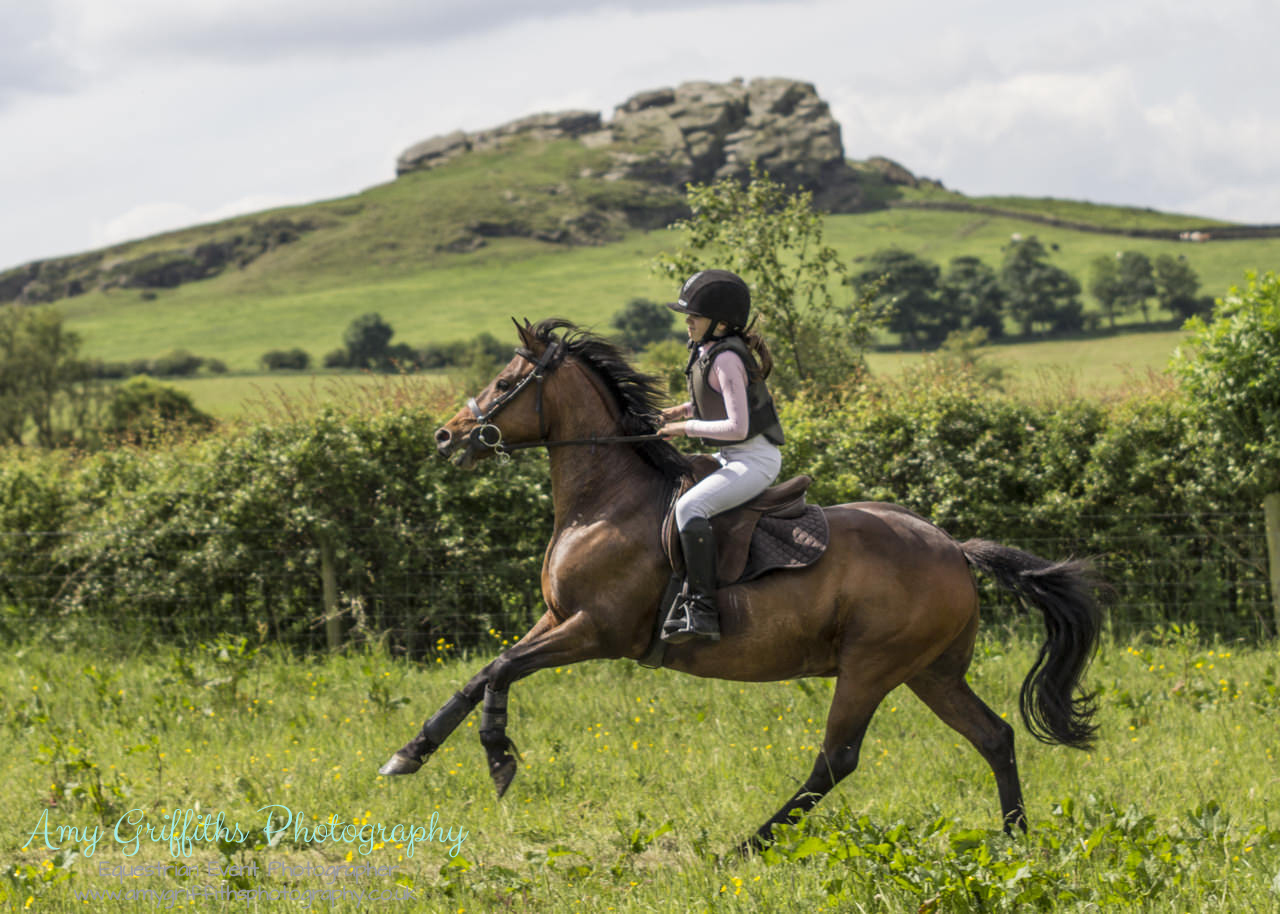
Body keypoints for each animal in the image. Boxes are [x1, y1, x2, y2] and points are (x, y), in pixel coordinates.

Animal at [376, 317, 1100, 849]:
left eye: (506, 380)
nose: (445, 437)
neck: (604, 500)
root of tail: (953, 548)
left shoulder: (595, 631)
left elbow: (500, 671)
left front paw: (499, 759)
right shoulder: (557, 618)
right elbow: (480, 675)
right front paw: (407, 755)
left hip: (871, 666)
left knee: (836, 759)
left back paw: (748, 845)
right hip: (931, 671)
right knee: (994, 736)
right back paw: (1016, 839)